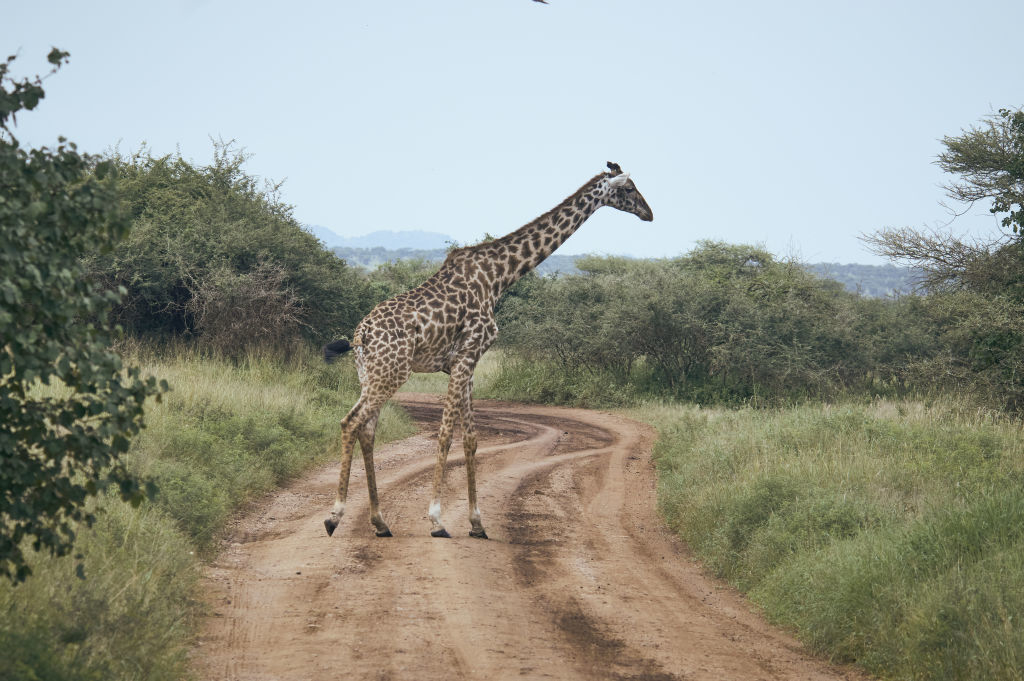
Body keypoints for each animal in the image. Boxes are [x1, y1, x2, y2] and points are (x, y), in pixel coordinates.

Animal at [323, 161, 651, 540]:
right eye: (628, 188)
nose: (649, 213)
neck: (499, 277)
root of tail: (360, 335)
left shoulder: (465, 365)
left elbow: (471, 439)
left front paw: (477, 522)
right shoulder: (466, 356)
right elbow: (446, 435)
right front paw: (436, 520)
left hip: (370, 373)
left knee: (367, 430)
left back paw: (380, 522)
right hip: (392, 372)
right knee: (351, 422)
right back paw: (334, 517)